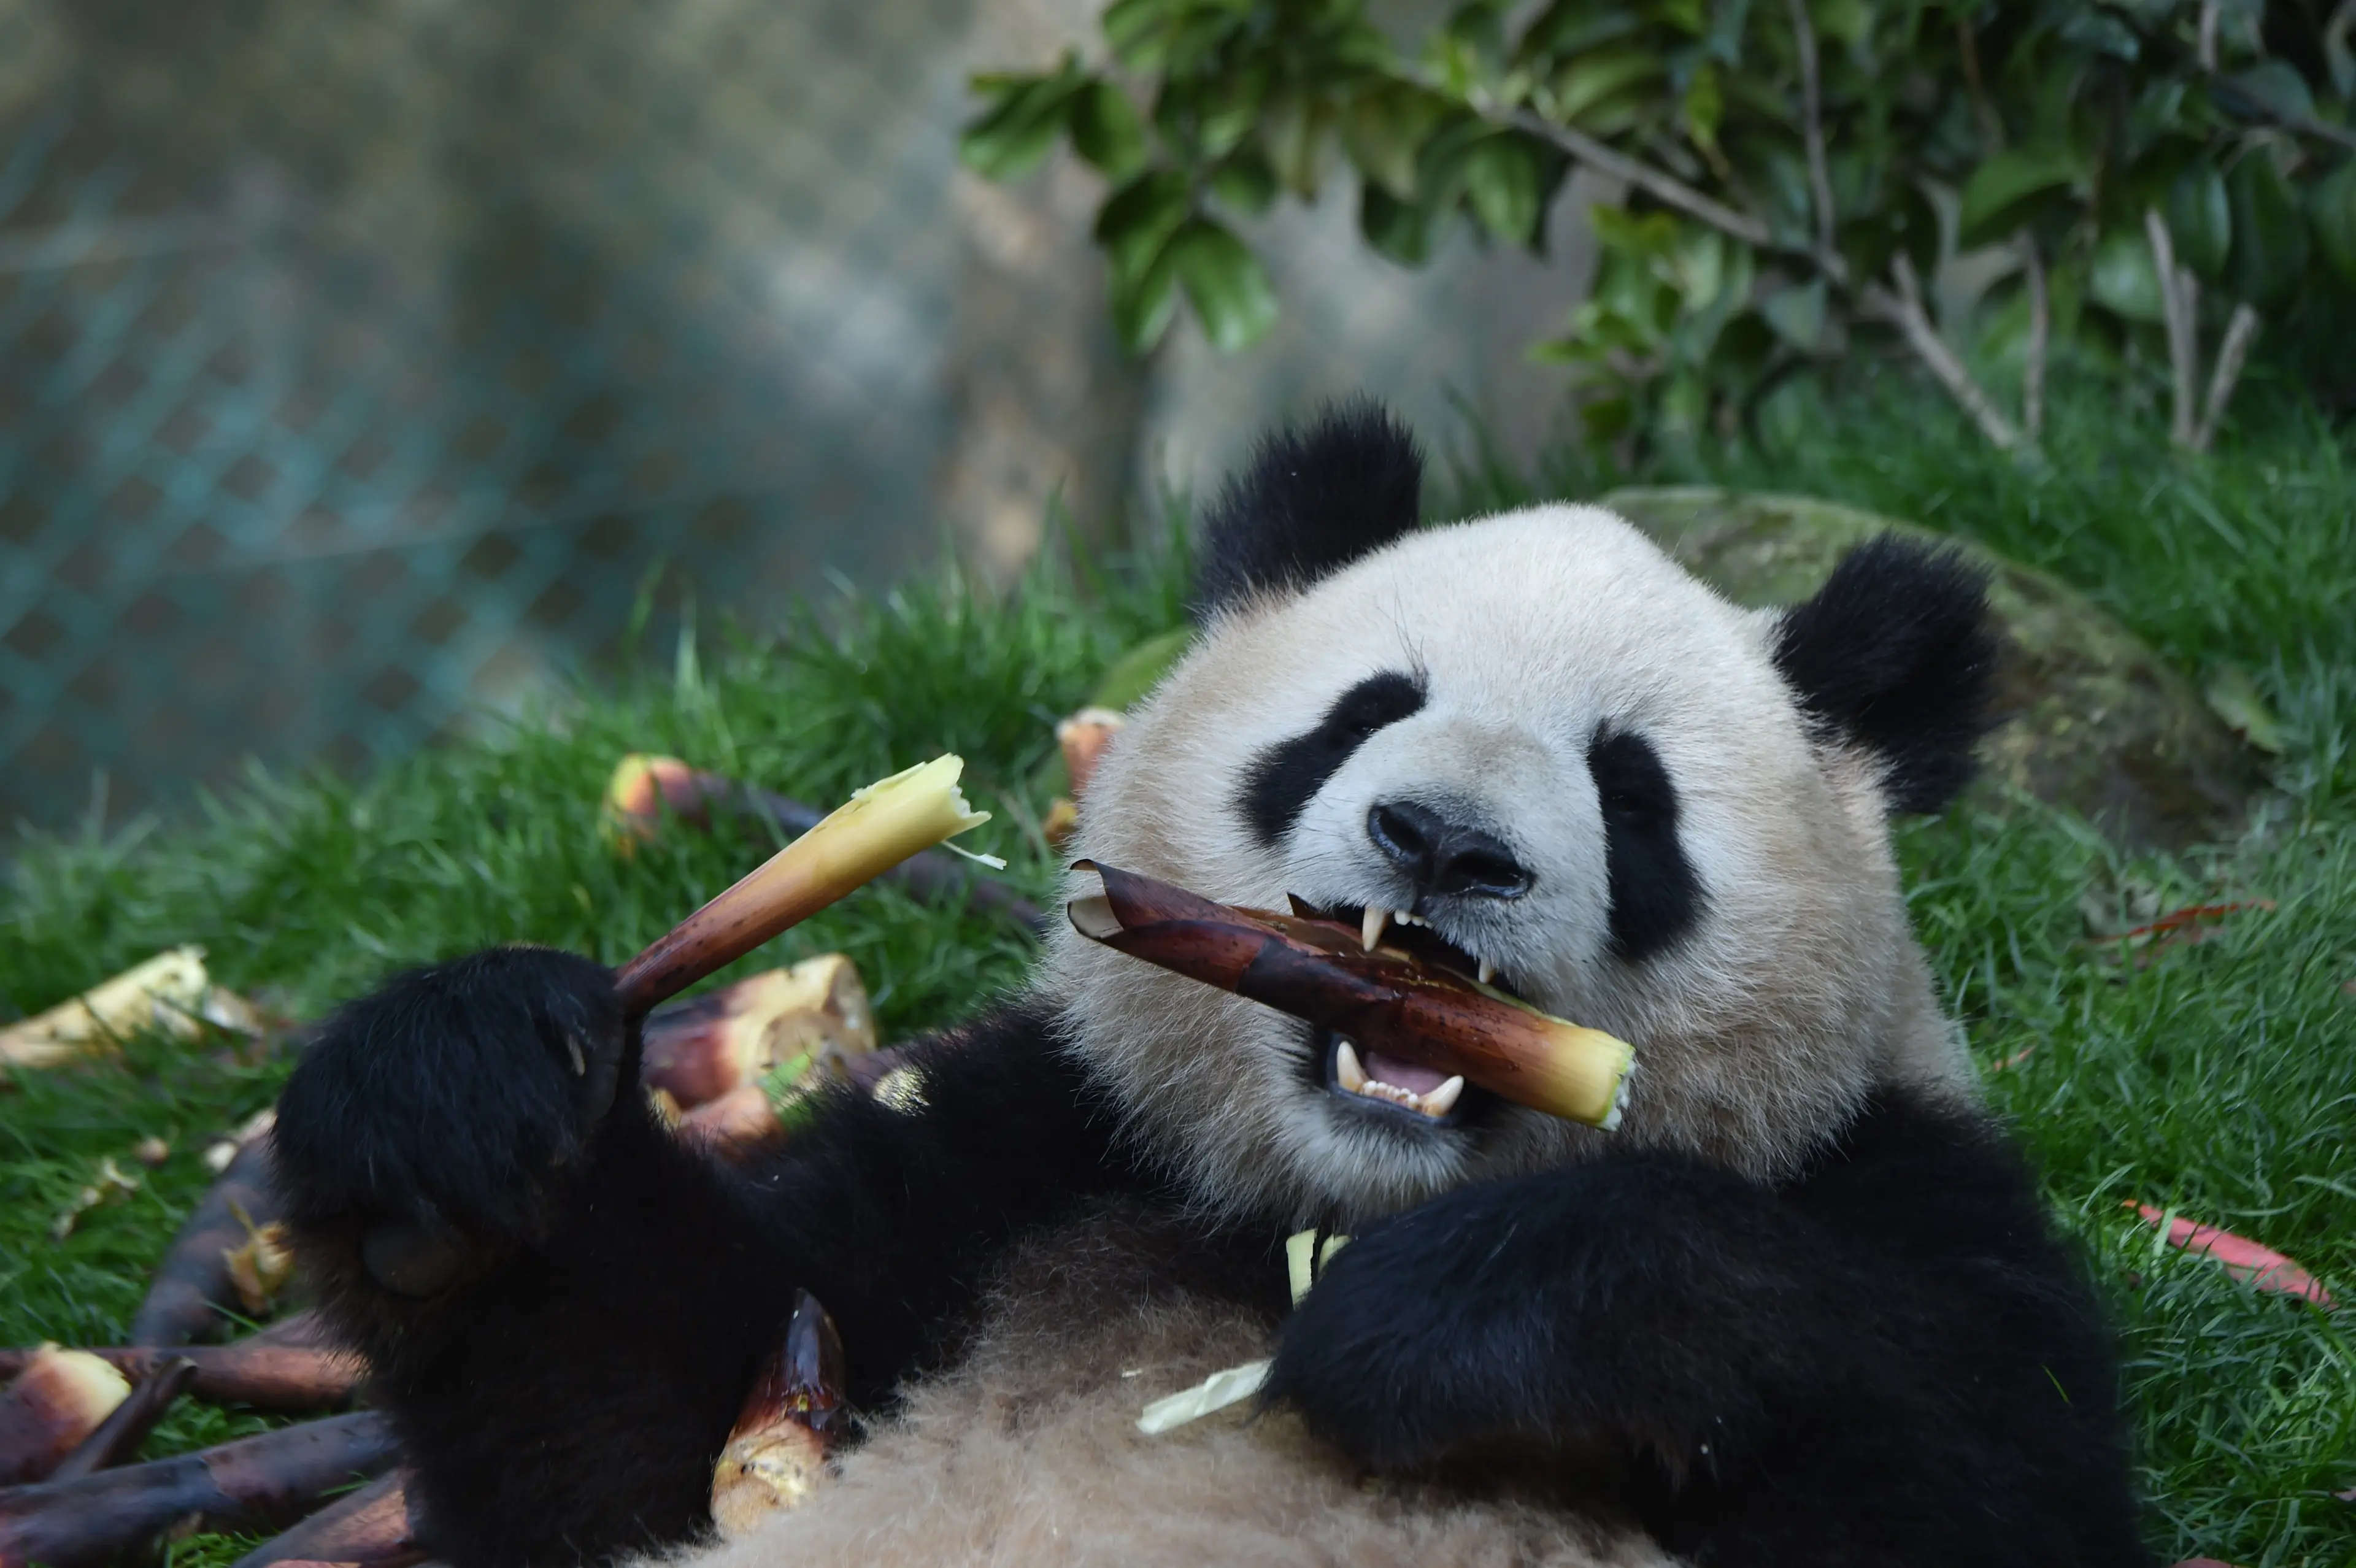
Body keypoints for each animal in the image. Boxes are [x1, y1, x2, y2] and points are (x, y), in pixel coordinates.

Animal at [272, 403, 2151, 1568]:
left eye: (1630, 792)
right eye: (1361, 713)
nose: (1444, 841)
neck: (1312, 1207)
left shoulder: (1896, 1182)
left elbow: (1972, 1472)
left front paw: (1463, 1320)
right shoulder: (1033, 1147)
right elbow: (630, 1436)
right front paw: (448, 1116)